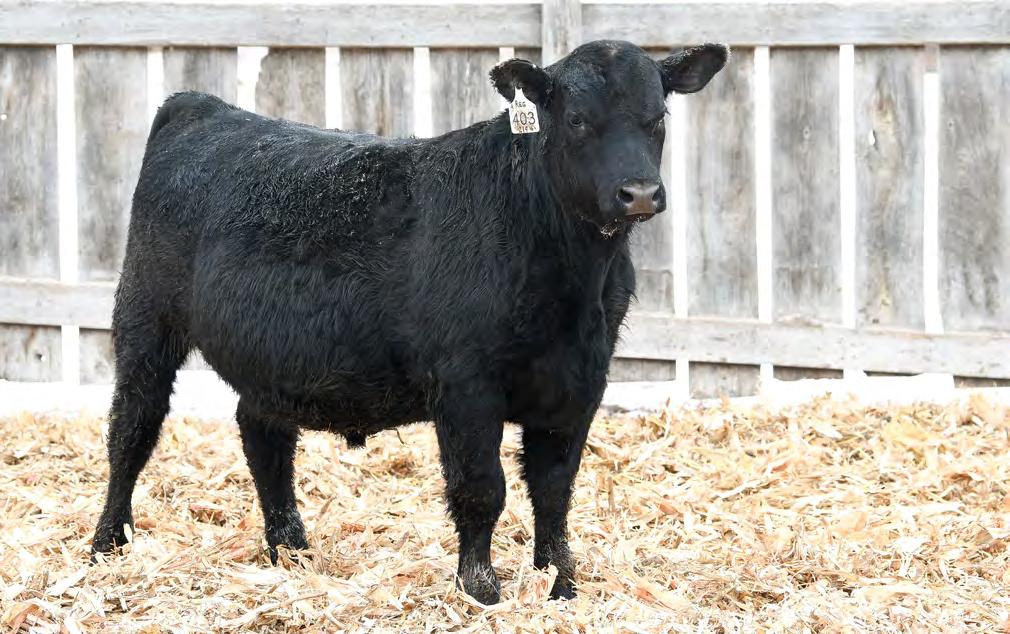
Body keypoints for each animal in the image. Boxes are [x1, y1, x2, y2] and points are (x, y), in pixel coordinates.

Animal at [90, 40, 727, 604]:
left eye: (658, 116)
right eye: (575, 119)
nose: (638, 192)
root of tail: (201, 105)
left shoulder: (581, 382)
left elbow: (554, 490)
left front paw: (559, 582)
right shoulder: (466, 385)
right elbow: (481, 488)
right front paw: (480, 590)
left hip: (272, 357)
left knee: (262, 433)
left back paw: (290, 551)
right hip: (145, 319)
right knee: (132, 430)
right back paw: (106, 545)